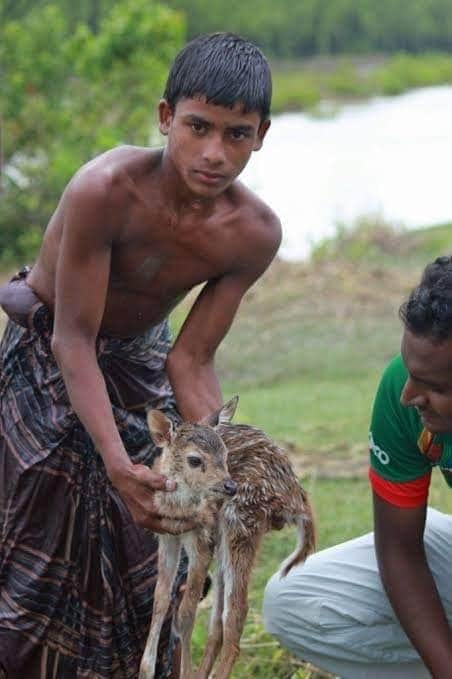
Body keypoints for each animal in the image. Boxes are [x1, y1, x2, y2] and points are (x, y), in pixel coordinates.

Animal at [139, 396, 315, 679]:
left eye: (225, 455)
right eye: (194, 460)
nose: (230, 485)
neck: (180, 507)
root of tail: (296, 496)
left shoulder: (202, 538)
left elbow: (185, 613)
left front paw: (185, 672)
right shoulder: (168, 536)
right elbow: (160, 600)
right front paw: (145, 670)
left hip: (241, 520)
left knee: (236, 611)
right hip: (227, 537)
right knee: (218, 621)